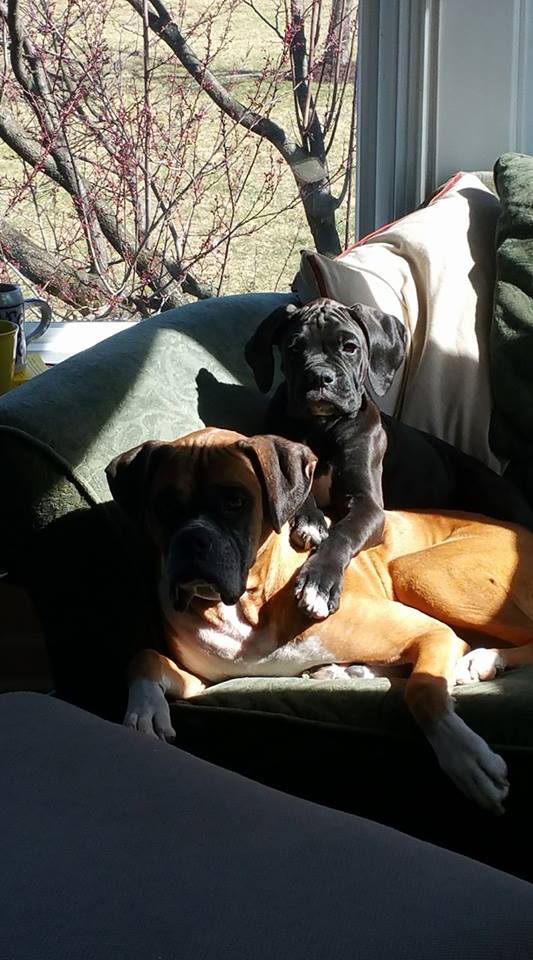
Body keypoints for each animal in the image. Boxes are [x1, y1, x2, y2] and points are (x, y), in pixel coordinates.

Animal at [106, 427, 533, 814]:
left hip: (416, 571)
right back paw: (347, 671)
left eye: (235, 502)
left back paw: (483, 659)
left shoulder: (434, 632)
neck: (245, 608)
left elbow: (423, 690)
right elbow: (144, 656)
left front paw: (466, 759)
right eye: (163, 505)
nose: (193, 540)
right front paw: (145, 712)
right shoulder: (204, 684)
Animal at [245, 298, 533, 620]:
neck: (320, 427)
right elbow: (298, 493)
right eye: (294, 348)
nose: (319, 377)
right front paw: (311, 520)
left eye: (350, 347)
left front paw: (319, 583)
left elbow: (342, 535)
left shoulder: (368, 506)